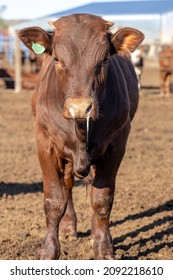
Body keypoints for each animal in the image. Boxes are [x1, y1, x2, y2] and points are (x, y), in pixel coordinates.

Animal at [17, 12, 145, 258]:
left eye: (104, 60)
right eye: (57, 58)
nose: (79, 107)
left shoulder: (116, 145)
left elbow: (102, 199)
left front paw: (104, 249)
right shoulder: (45, 144)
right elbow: (54, 200)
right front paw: (49, 251)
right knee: (67, 185)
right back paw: (68, 228)